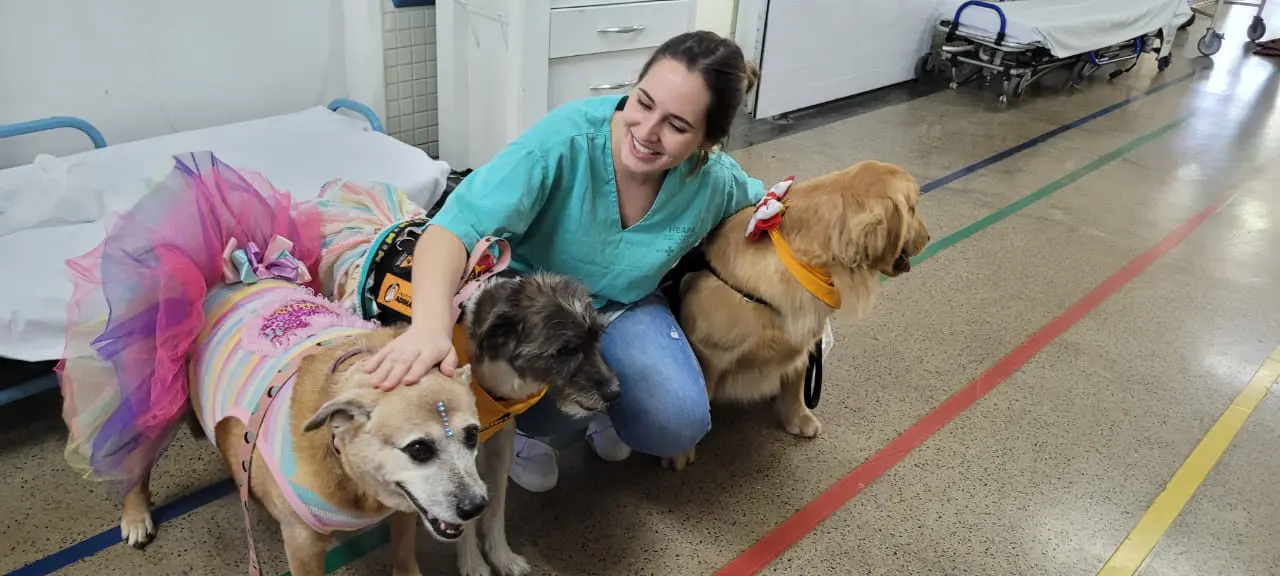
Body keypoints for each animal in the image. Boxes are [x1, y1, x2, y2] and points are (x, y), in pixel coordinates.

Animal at [660, 160, 931, 471]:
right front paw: (679, 452)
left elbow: (795, 382)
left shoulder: (805, 342)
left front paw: (797, 417)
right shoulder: (707, 350)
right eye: (913, 207)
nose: (929, 237)